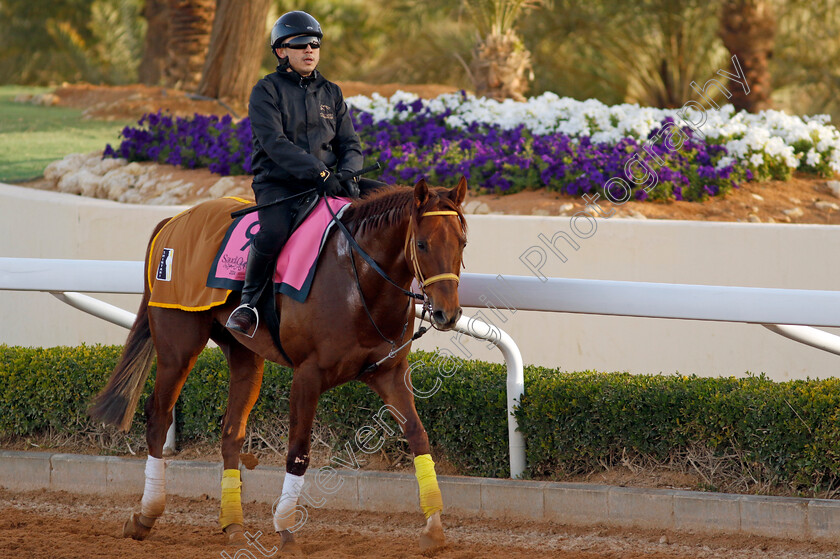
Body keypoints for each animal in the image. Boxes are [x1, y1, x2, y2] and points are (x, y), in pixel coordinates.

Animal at [89, 178, 470, 552]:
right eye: (421, 244)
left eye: (462, 242)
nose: (446, 313)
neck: (356, 280)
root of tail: (173, 221)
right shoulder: (307, 375)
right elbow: (298, 453)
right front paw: (286, 530)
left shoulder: (389, 372)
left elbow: (418, 436)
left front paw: (434, 527)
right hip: (178, 346)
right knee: (158, 416)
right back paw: (145, 516)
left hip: (244, 353)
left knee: (231, 432)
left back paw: (233, 525)